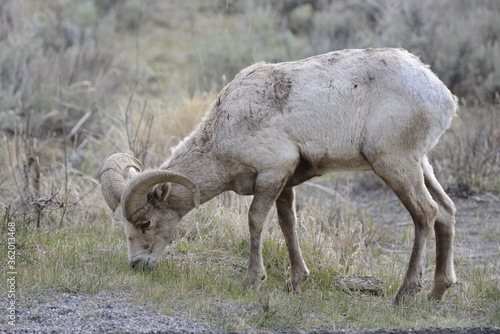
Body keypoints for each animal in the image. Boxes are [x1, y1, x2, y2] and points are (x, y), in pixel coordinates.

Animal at [100, 48, 458, 304]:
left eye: (145, 223)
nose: (137, 264)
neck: (222, 131)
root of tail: (443, 96)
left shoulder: (272, 173)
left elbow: (256, 220)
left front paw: (252, 280)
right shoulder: (287, 181)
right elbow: (288, 224)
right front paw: (296, 282)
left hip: (395, 165)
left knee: (425, 214)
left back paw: (405, 293)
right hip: (421, 165)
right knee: (446, 211)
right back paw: (437, 292)